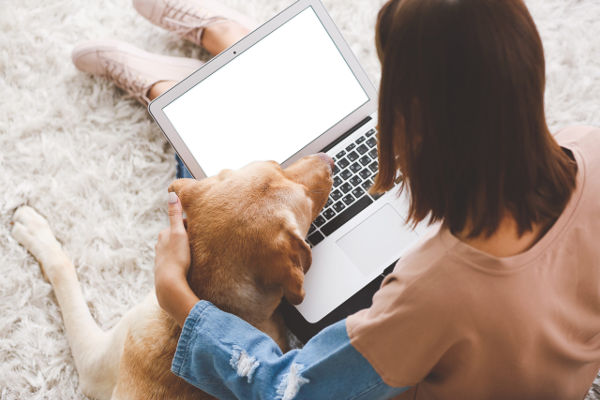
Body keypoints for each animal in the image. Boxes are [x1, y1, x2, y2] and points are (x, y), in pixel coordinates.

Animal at [11, 152, 332, 398]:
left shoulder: (93, 364)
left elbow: (63, 270)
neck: (204, 294)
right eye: (277, 165)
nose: (328, 159)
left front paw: (34, 231)